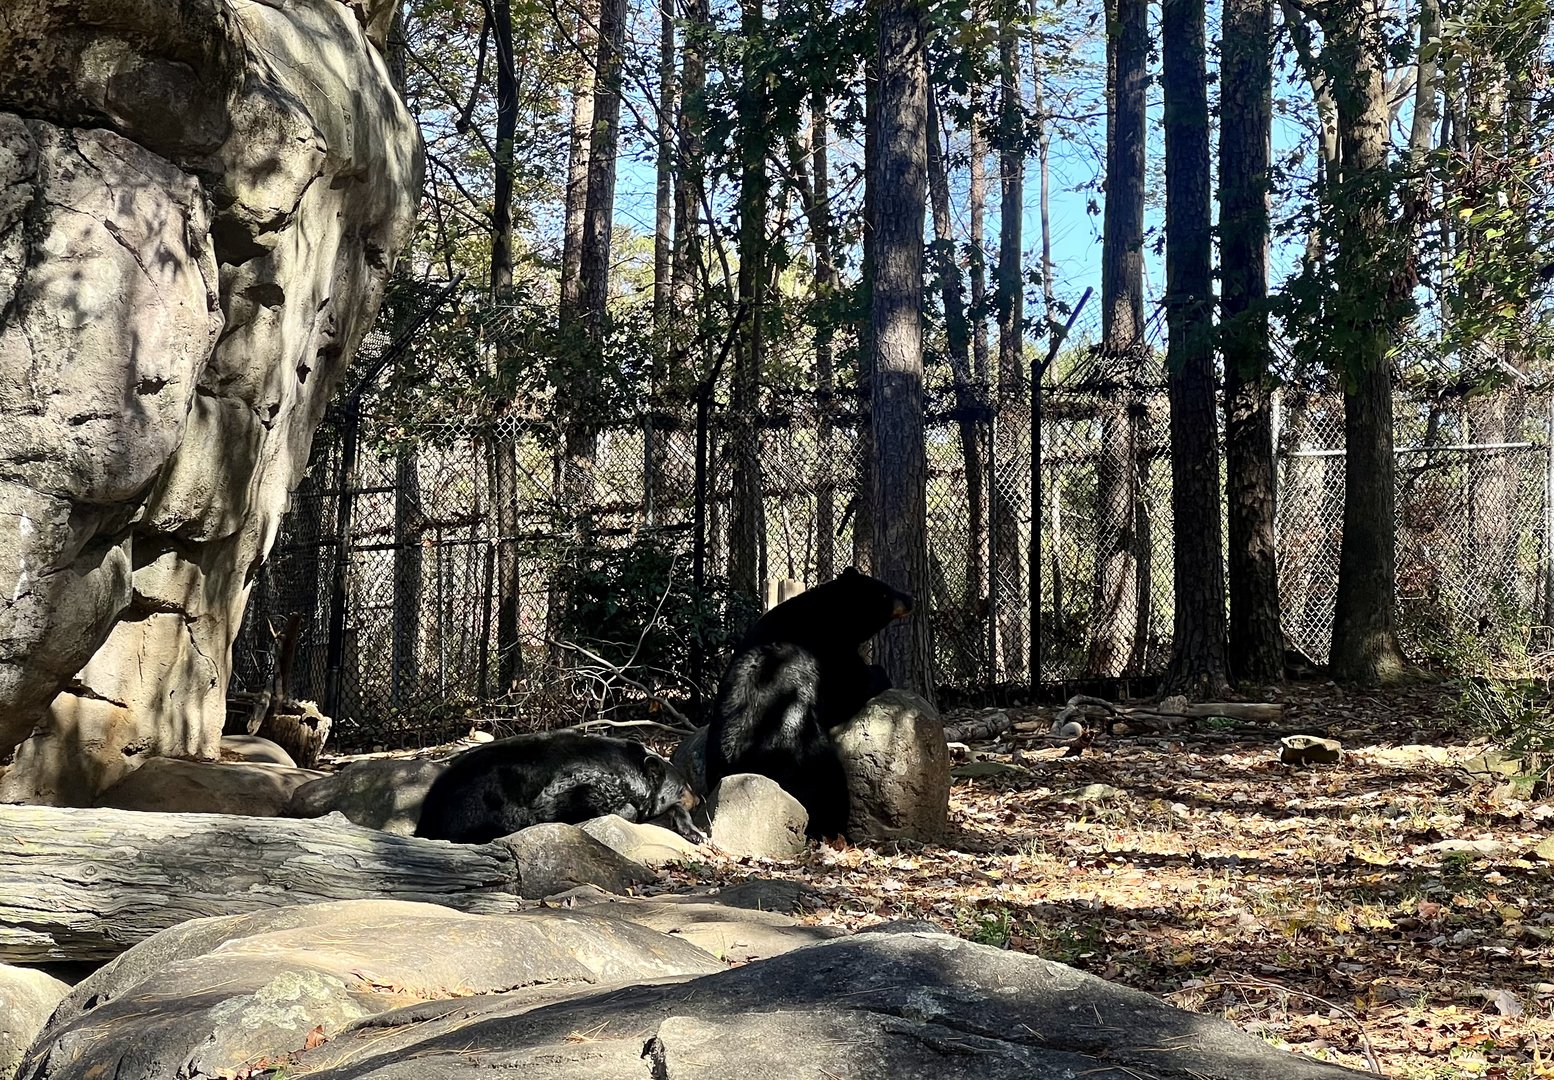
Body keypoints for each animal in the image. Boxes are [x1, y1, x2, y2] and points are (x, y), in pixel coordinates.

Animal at [705, 566, 914, 841]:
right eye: (884, 593)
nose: (910, 598)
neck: (824, 613)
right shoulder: (830, 652)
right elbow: (849, 688)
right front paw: (879, 673)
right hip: (805, 752)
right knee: (830, 786)